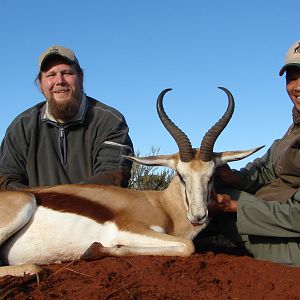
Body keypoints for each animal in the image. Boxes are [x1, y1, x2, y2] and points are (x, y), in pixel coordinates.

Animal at [0, 87, 262, 276]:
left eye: (212, 175)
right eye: (180, 175)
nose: (198, 215)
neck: (163, 206)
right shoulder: (129, 229)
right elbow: (187, 246)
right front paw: (95, 249)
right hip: (24, 205)